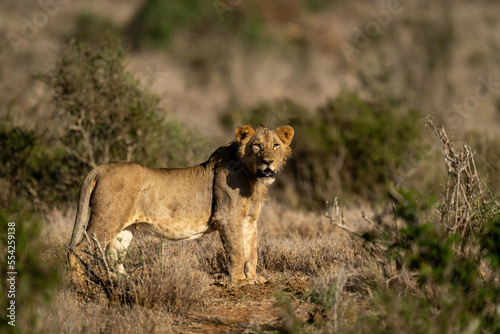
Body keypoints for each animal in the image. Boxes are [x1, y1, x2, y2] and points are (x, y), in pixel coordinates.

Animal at [66, 124, 292, 286]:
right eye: (257, 145)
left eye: (276, 145)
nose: (268, 162)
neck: (252, 177)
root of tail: (100, 169)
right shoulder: (227, 218)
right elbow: (236, 251)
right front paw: (239, 282)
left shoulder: (250, 220)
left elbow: (251, 250)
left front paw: (253, 278)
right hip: (105, 220)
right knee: (77, 250)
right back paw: (79, 286)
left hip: (125, 227)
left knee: (113, 255)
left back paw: (127, 282)